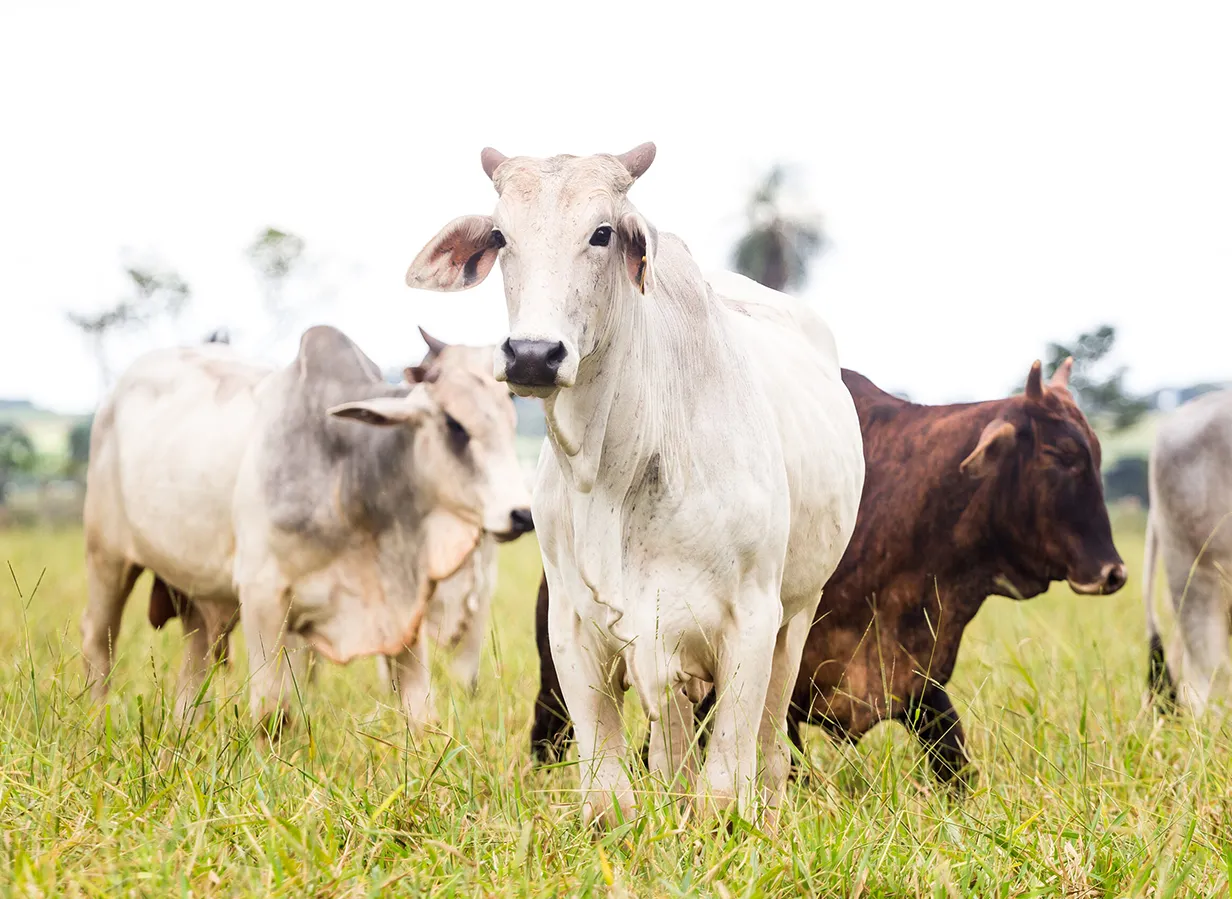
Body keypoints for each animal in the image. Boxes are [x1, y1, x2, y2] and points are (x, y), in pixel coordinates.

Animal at [81, 325, 533, 732]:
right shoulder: (263, 597)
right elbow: (272, 711)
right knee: (98, 646)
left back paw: (182, 731)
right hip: (106, 559)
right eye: (454, 424)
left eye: (510, 420)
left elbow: (422, 712)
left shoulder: (403, 609)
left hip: (198, 592)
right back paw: (96, 727)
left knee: (196, 658)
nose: (522, 514)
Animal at [404, 143, 865, 826]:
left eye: (602, 233)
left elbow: (723, 785)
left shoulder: (753, 619)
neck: (619, 470)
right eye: (501, 236)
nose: (532, 354)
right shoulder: (574, 626)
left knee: (770, 746)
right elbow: (608, 793)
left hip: (797, 614)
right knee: (673, 752)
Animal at [530, 359, 1128, 794]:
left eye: (1095, 453)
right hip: (559, 674)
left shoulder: (917, 683)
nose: (1113, 572)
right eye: (1062, 454)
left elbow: (956, 768)